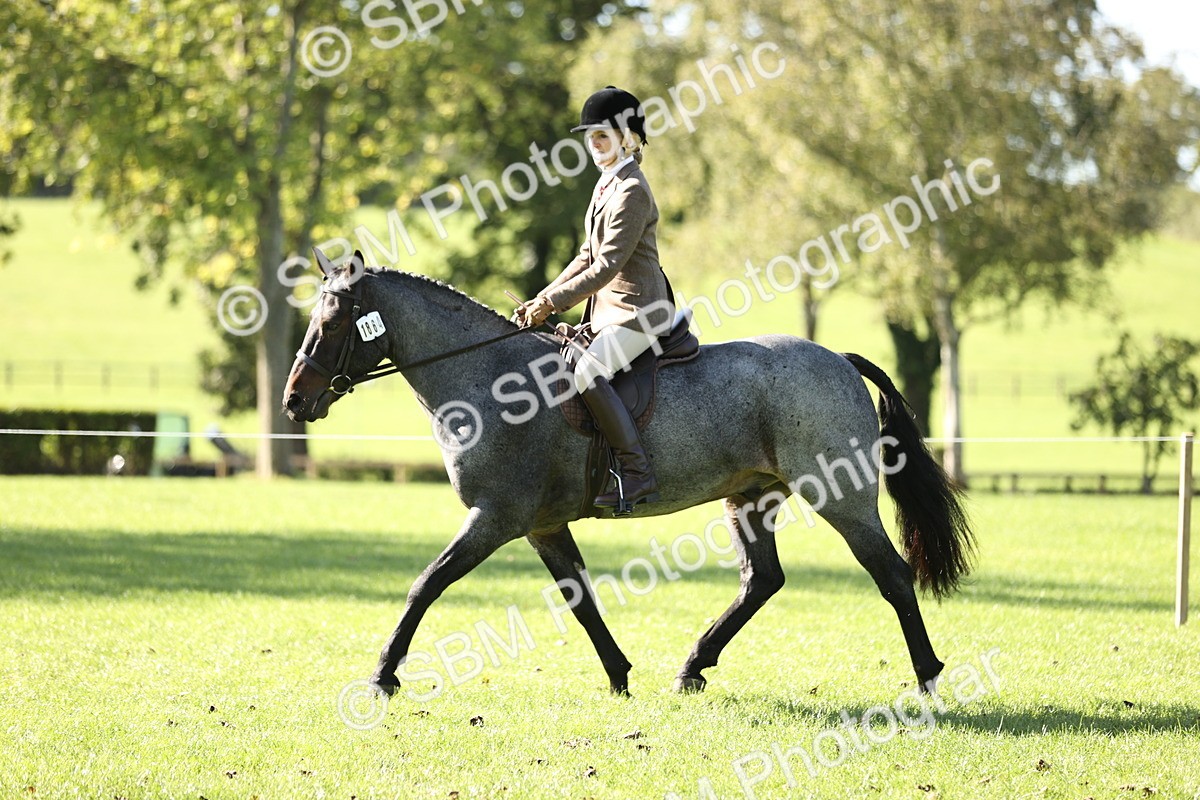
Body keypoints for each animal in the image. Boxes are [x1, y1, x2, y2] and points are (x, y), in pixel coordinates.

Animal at [283, 248, 974, 698]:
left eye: (334, 319)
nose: (294, 401)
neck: (489, 379)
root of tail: (838, 358)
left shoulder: (495, 518)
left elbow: (425, 585)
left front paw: (383, 676)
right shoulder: (541, 525)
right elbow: (581, 600)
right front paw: (619, 676)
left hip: (841, 498)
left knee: (891, 575)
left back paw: (929, 678)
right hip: (750, 498)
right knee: (762, 580)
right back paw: (692, 667)